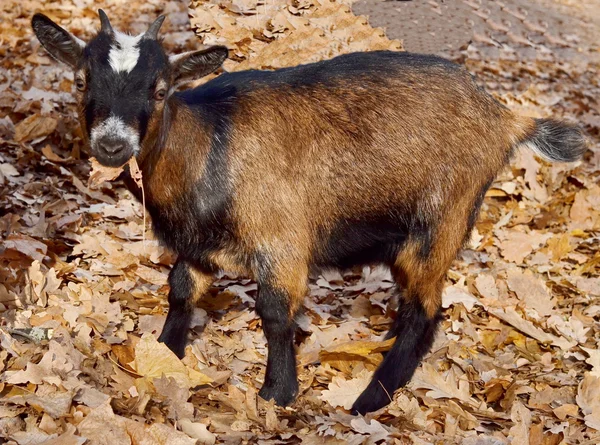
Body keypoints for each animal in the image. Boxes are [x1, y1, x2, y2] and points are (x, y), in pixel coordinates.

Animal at [31, 9, 584, 412]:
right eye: (81, 81)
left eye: (161, 89)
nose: (112, 144)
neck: (207, 144)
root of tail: (505, 118)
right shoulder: (197, 245)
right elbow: (181, 289)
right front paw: (166, 353)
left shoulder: (283, 243)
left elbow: (275, 313)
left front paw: (278, 393)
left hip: (440, 221)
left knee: (428, 311)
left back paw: (370, 399)